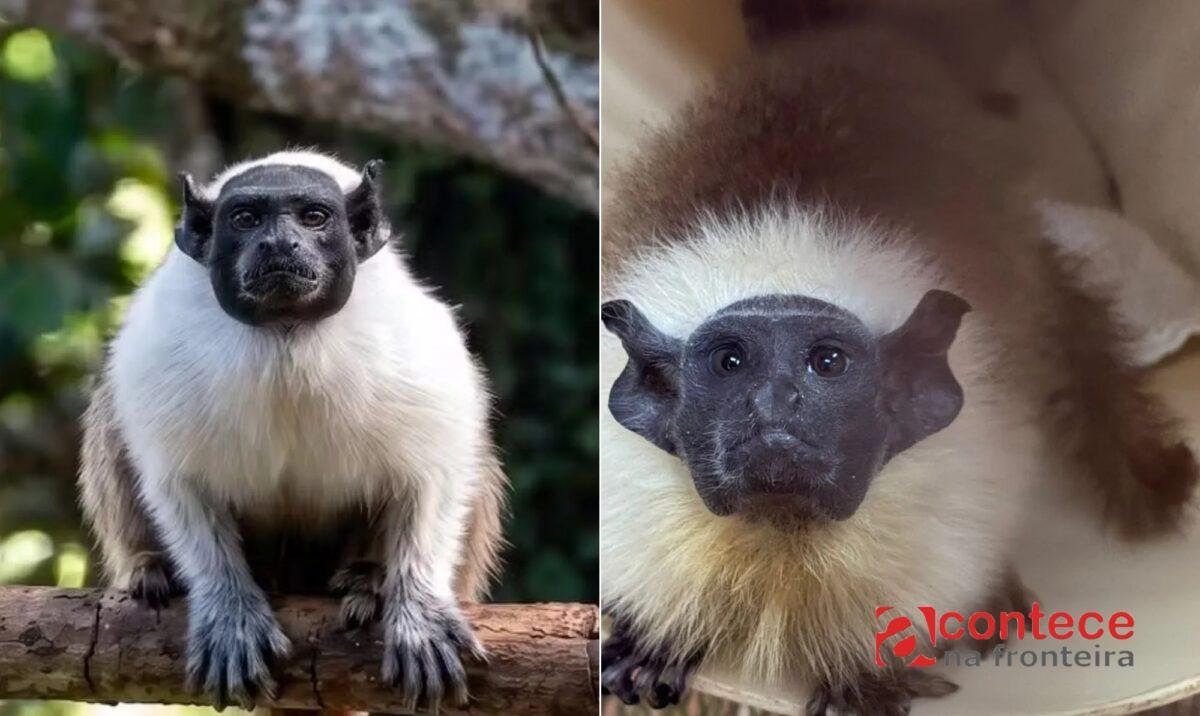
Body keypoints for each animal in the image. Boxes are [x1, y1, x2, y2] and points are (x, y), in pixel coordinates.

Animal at [78, 151, 507, 711]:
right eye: (246, 219)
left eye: (313, 218)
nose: (279, 244)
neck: (286, 336)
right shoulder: (160, 350)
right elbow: (179, 488)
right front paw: (230, 614)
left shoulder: (413, 348)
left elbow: (437, 472)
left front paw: (419, 614)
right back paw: (150, 568)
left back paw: (368, 579)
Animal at [599, 16, 1197, 715]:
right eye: (729, 363)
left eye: (829, 364)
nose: (775, 409)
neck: (782, 531)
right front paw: (654, 639)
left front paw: (867, 680)